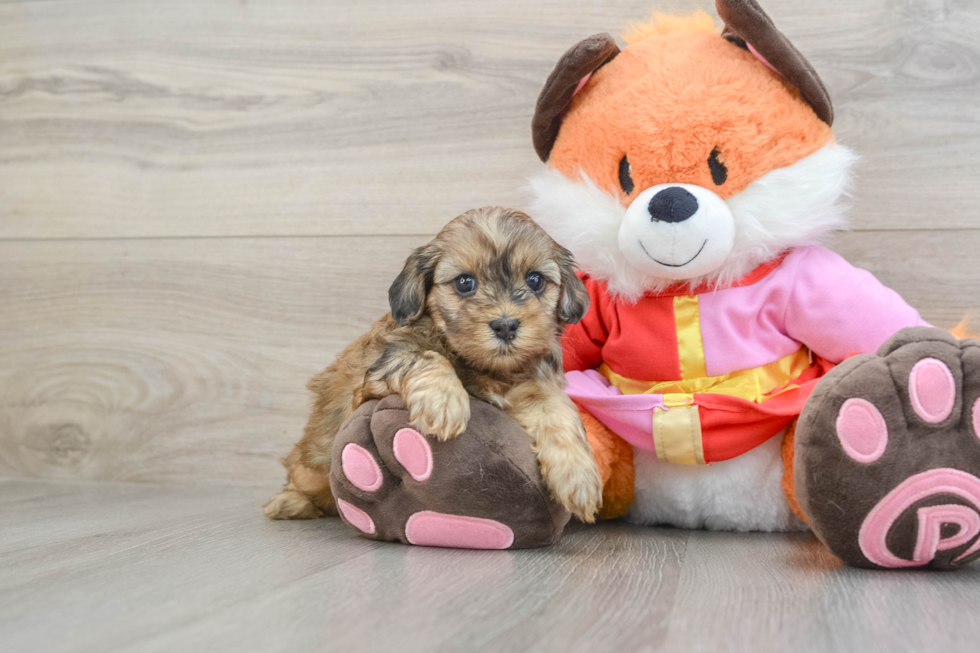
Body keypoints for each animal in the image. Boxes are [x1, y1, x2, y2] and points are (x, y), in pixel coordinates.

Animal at [262, 206, 604, 524]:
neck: (480, 365)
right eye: (464, 283)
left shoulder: (531, 384)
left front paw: (579, 477)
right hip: (312, 463)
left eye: (535, 281)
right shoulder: (379, 369)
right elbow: (425, 356)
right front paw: (445, 402)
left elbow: (559, 411)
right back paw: (290, 503)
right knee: (307, 481)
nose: (506, 325)